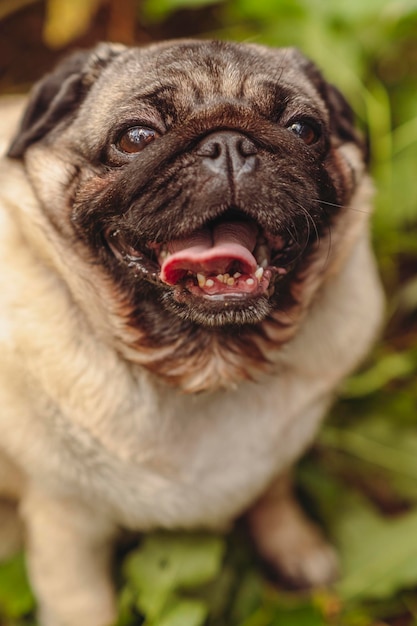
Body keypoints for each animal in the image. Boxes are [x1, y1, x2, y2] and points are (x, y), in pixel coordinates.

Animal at [0, 40, 384, 624]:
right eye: (136, 137)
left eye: (304, 130)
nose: (229, 144)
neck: (208, 366)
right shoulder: (65, 522)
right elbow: (83, 602)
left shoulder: (275, 457)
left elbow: (273, 492)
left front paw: (294, 546)